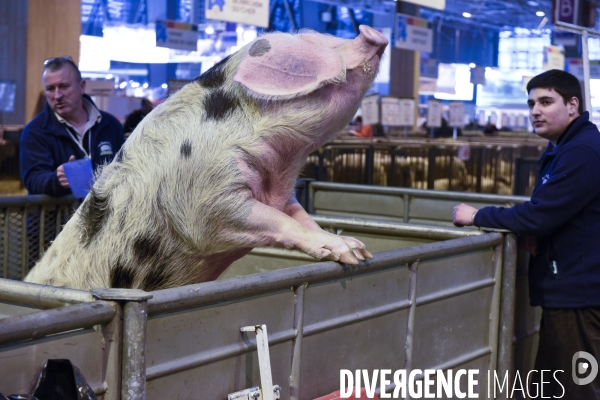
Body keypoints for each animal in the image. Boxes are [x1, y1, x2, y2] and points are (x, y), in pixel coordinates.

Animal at [23, 25, 386, 290]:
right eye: (315, 42)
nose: (373, 31)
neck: (281, 164)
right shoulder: (204, 199)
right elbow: (275, 221)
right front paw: (352, 254)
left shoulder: (284, 195)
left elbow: (301, 218)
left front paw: (358, 250)